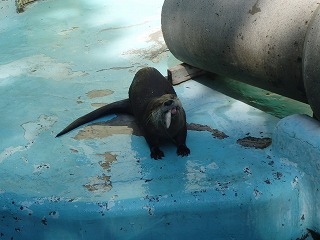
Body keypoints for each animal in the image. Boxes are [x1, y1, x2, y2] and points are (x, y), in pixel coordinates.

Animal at [56, 67, 190, 159]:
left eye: (172, 96)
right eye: (159, 104)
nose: (169, 101)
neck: (168, 131)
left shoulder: (182, 124)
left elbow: (182, 137)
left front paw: (183, 149)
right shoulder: (147, 128)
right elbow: (151, 141)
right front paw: (156, 152)